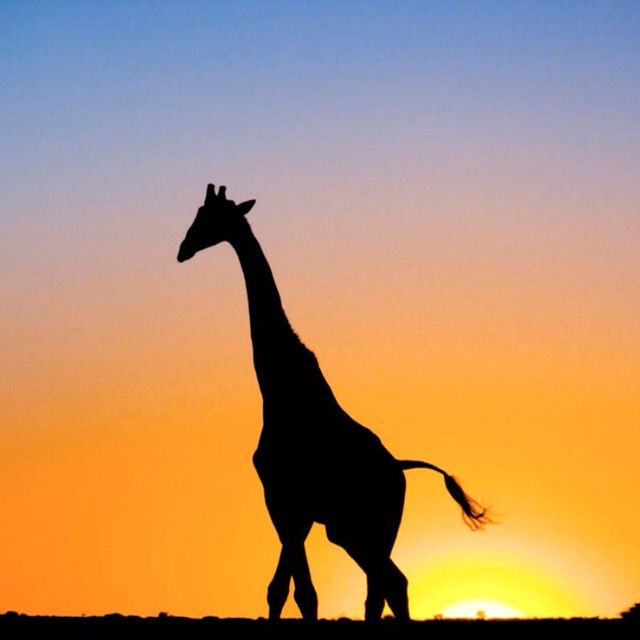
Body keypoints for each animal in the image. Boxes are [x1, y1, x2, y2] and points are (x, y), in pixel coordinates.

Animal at [177, 184, 490, 621]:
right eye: (198, 213)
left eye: (211, 217)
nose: (183, 248)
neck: (279, 388)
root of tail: (399, 468)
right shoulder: (294, 507)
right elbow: (283, 589)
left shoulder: (285, 499)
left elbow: (297, 591)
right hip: (355, 529)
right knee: (386, 584)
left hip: (363, 526)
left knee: (389, 583)